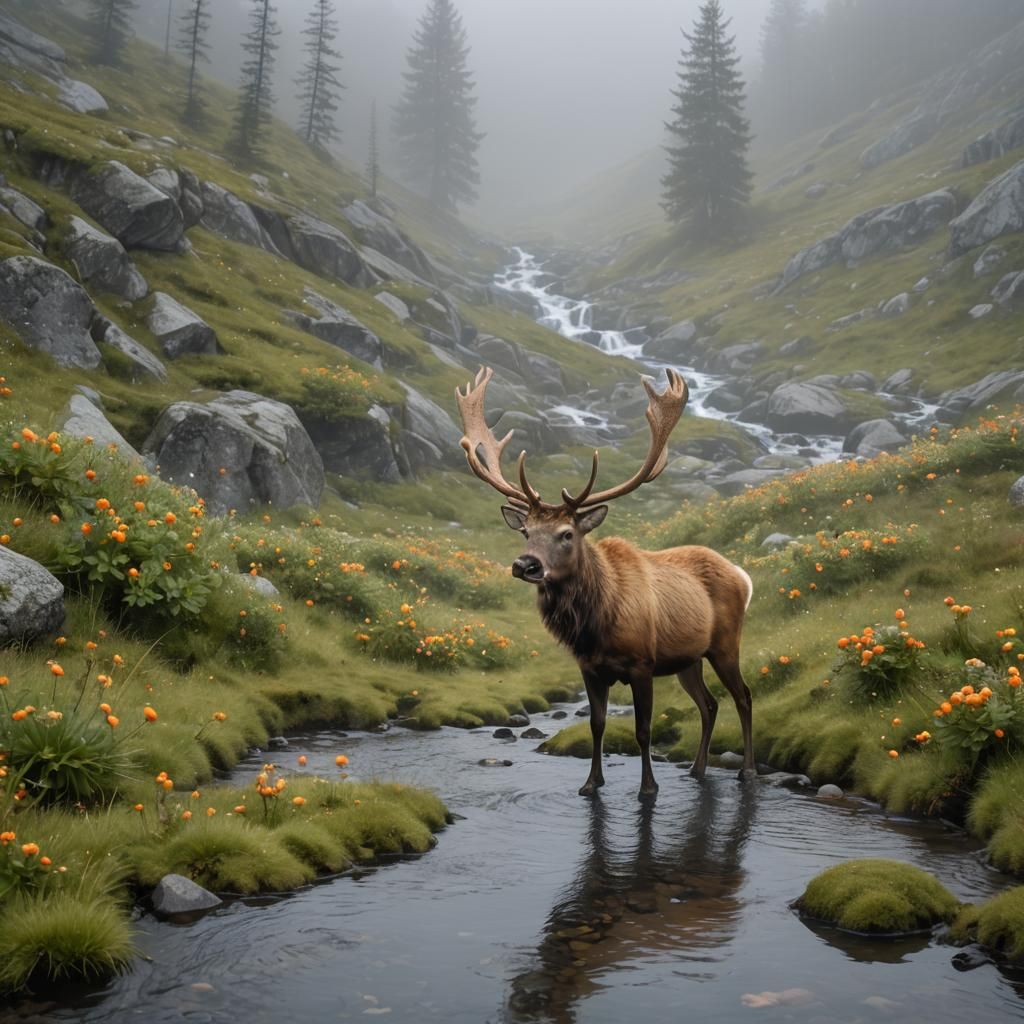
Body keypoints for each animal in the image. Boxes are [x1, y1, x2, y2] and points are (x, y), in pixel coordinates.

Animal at [454, 366, 755, 800]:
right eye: (526, 531)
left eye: (566, 533)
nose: (524, 565)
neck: (595, 627)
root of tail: (742, 575)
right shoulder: (589, 668)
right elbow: (597, 725)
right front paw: (591, 783)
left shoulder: (642, 664)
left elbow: (643, 730)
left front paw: (648, 788)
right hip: (688, 659)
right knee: (710, 704)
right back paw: (697, 768)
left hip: (725, 644)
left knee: (743, 696)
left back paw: (747, 770)